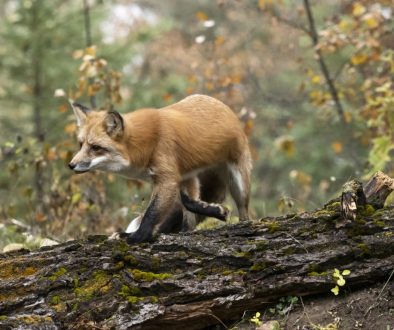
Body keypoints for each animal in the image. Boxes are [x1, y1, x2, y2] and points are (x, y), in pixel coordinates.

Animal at [69, 94, 251, 244]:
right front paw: (217, 211)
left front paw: (136, 237)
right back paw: (185, 231)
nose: (71, 165)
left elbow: (151, 214)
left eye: (95, 148)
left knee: (243, 211)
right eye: (81, 144)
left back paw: (244, 224)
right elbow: (189, 202)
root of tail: (223, 106)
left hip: (239, 183)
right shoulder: (180, 176)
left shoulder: (167, 179)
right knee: (188, 212)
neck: (144, 144)